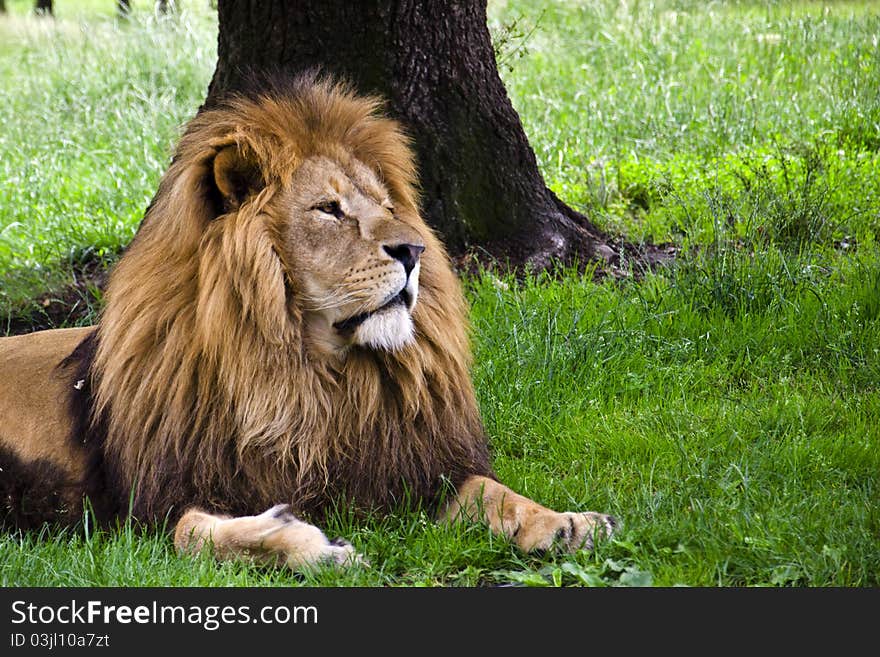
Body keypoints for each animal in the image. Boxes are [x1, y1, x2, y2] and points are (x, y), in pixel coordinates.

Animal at [0, 75, 616, 568]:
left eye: (385, 205)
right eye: (328, 209)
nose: (415, 250)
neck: (317, 376)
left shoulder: (412, 468)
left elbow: (494, 491)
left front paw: (566, 524)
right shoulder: (147, 508)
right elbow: (198, 534)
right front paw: (313, 546)